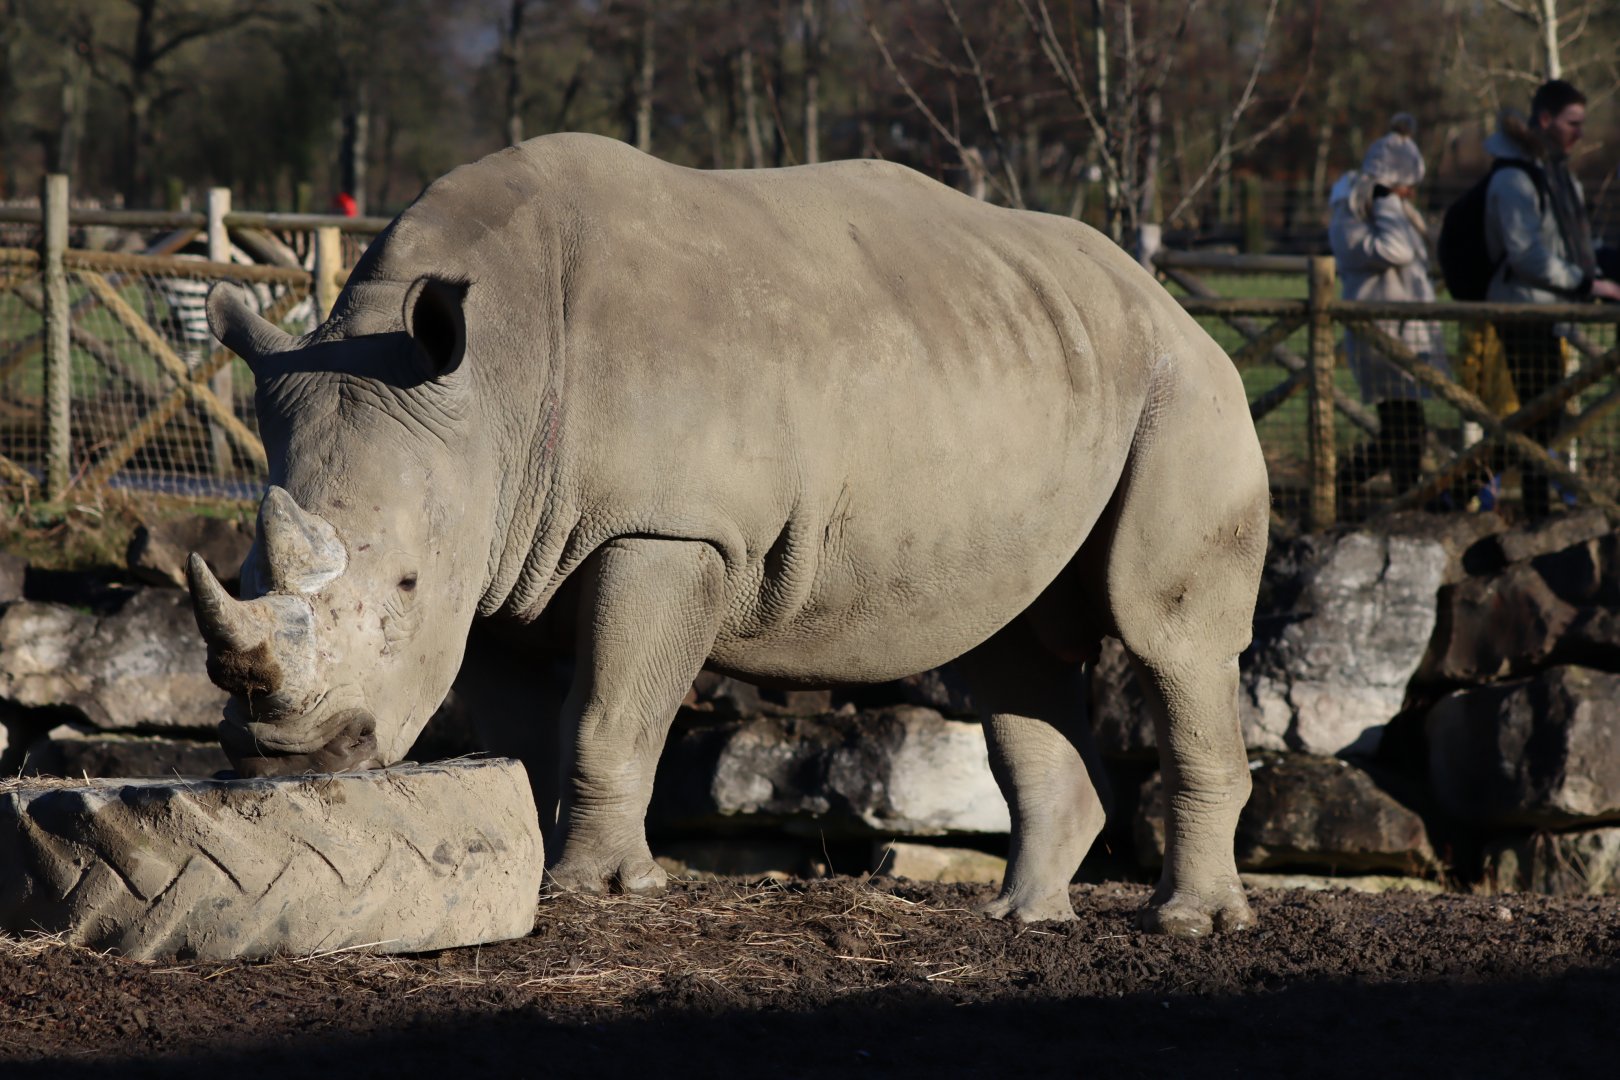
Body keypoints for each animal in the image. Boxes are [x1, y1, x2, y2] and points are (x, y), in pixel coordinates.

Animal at [192, 132, 1268, 936]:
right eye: (241, 569)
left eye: (407, 585)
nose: (287, 759)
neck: (488, 388)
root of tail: (1164, 297)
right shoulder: (493, 566)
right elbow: (521, 729)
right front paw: (536, 865)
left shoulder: (672, 531)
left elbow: (610, 712)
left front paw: (601, 888)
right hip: (1042, 363)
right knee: (1010, 650)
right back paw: (1023, 919)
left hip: (1187, 390)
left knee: (1170, 637)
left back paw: (1189, 923)